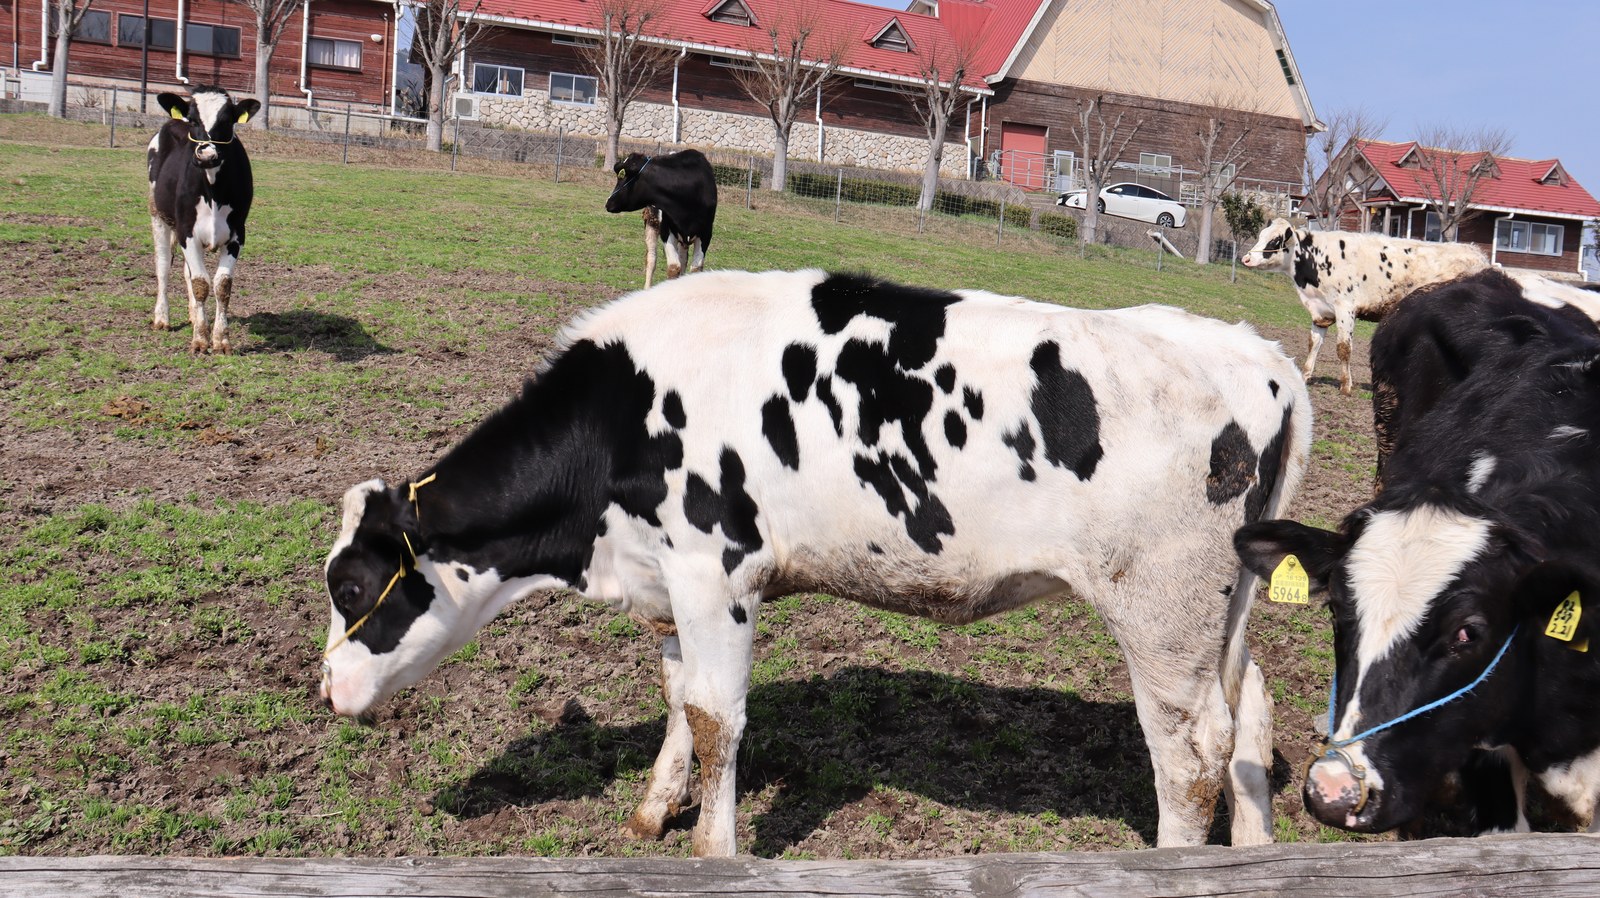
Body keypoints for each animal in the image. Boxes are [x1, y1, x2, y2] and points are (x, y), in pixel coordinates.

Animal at [147, 85, 259, 354]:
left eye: (227, 120)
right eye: (193, 120)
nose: (207, 155)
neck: (212, 189)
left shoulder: (237, 234)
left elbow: (221, 285)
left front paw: (221, 340)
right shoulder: (187, 231)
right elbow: (201, 283)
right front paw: (200, 340)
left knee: (186, 272)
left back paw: (192, 315)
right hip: (158, 216)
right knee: (163, 267)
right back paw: (162, 318)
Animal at [318, 269, 1310, 856]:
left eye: (351, 585)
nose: (327, 690)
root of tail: (1253, 351)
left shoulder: (716, 575)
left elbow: (717, 720)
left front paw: (713, 851)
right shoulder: (670, 581)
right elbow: (679, 698)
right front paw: (655, 806)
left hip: (1160, 613)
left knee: (1189, 756)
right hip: (1220, 611)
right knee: (1250, 711)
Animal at [605, 150, 717, 287]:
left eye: (622, 177)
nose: (608, 203)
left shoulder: (706, 234)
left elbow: (695, 269)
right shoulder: (666, 230)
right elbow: (674, 267)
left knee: (683, 259)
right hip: (651, 223)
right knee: (651, 259)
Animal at [1239, 218, 1487, 396]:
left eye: (1274, 241)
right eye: (1260, 236)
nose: (1246, 259)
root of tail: (1478, 255)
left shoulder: (1345, 307)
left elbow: (1343, 348)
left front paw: (1346, 386)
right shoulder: (1320, 311)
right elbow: (1314, 343)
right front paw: (1305, 375)